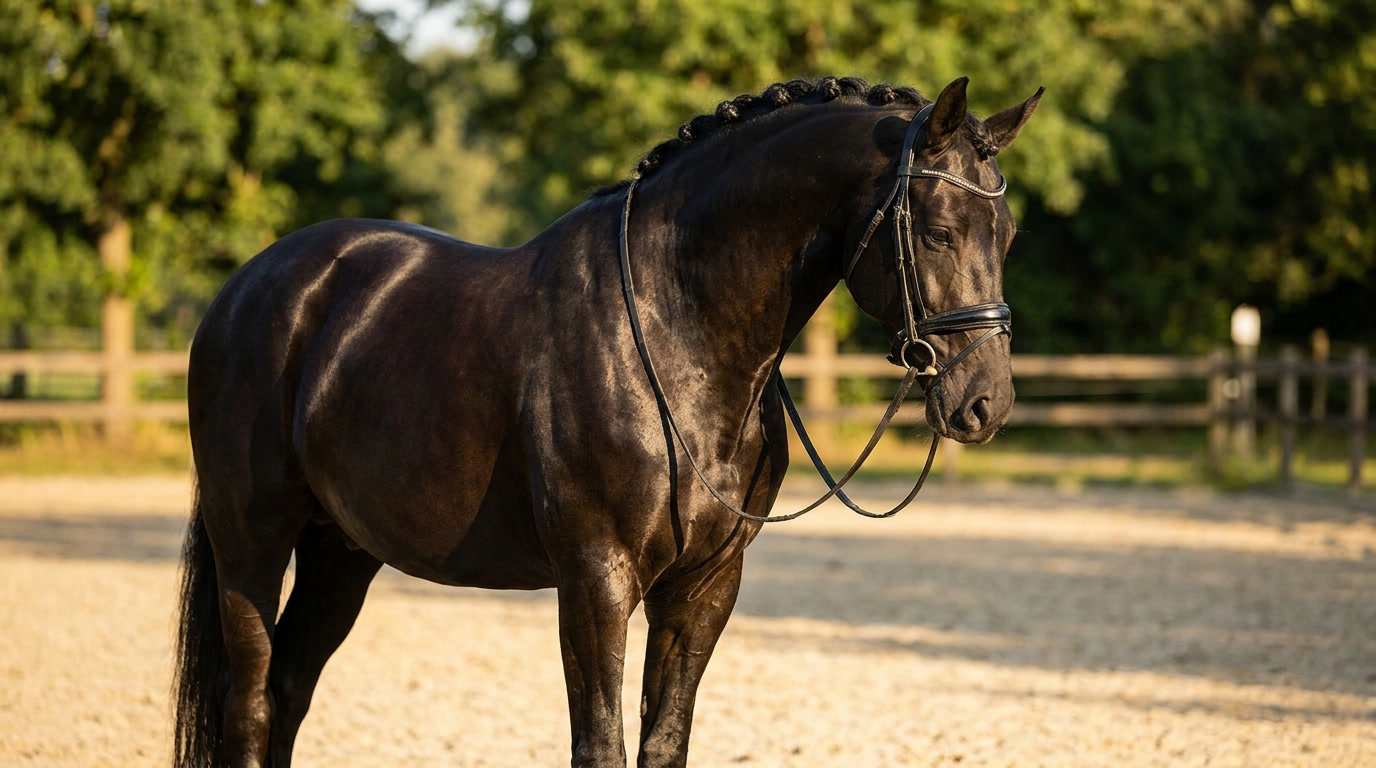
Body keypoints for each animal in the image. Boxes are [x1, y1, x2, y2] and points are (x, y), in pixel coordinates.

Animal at [173, 75, 1042, 767]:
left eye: (1007, 236)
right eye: (937, 231)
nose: (985, 402)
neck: (672, 327)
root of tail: (250, 287)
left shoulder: (704, 585)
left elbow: (664, 741)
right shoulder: (596, 580)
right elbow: (600, 745)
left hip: (341, 550)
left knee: (290, 689)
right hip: (253, 543)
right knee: (251, 702)